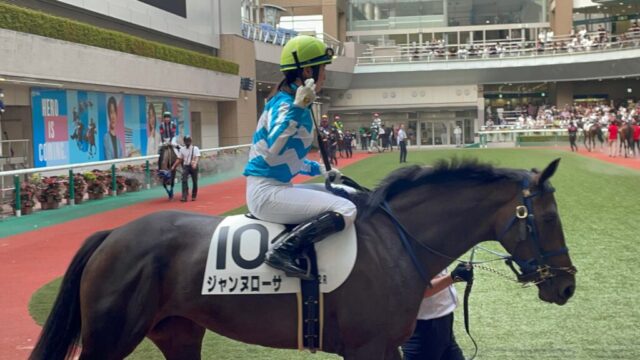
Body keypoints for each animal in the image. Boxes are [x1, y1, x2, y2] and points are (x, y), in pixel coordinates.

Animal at [28, 159, 576, 360]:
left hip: (179, 333)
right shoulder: (367, 349)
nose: (567, 284)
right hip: (109, 339)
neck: (396, 240)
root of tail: (114, 234)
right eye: (548, 218)